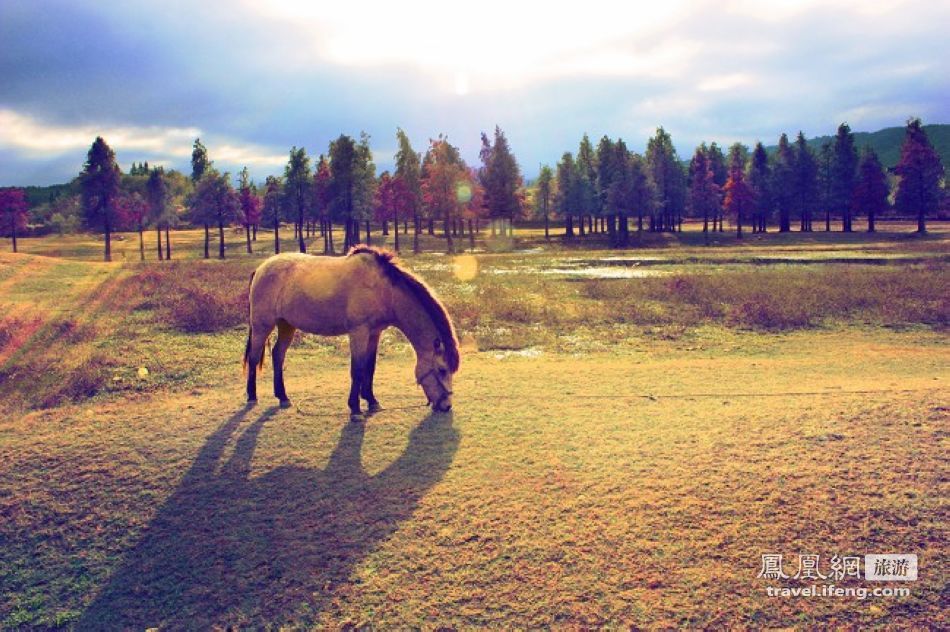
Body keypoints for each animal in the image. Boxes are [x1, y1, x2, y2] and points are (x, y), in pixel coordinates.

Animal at [245, 246, 462, 420]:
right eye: (442, 369)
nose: (447, 406)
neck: (383, 290)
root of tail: (261, 269)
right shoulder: (359, 332)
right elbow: (357, 369)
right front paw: (355, 409)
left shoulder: (374, 333)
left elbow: (370, 367)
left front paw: (372, 401)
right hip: (262, 325)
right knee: (254, 358)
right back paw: (252, 396)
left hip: (286, 325)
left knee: (278, 355)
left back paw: (282, 397)